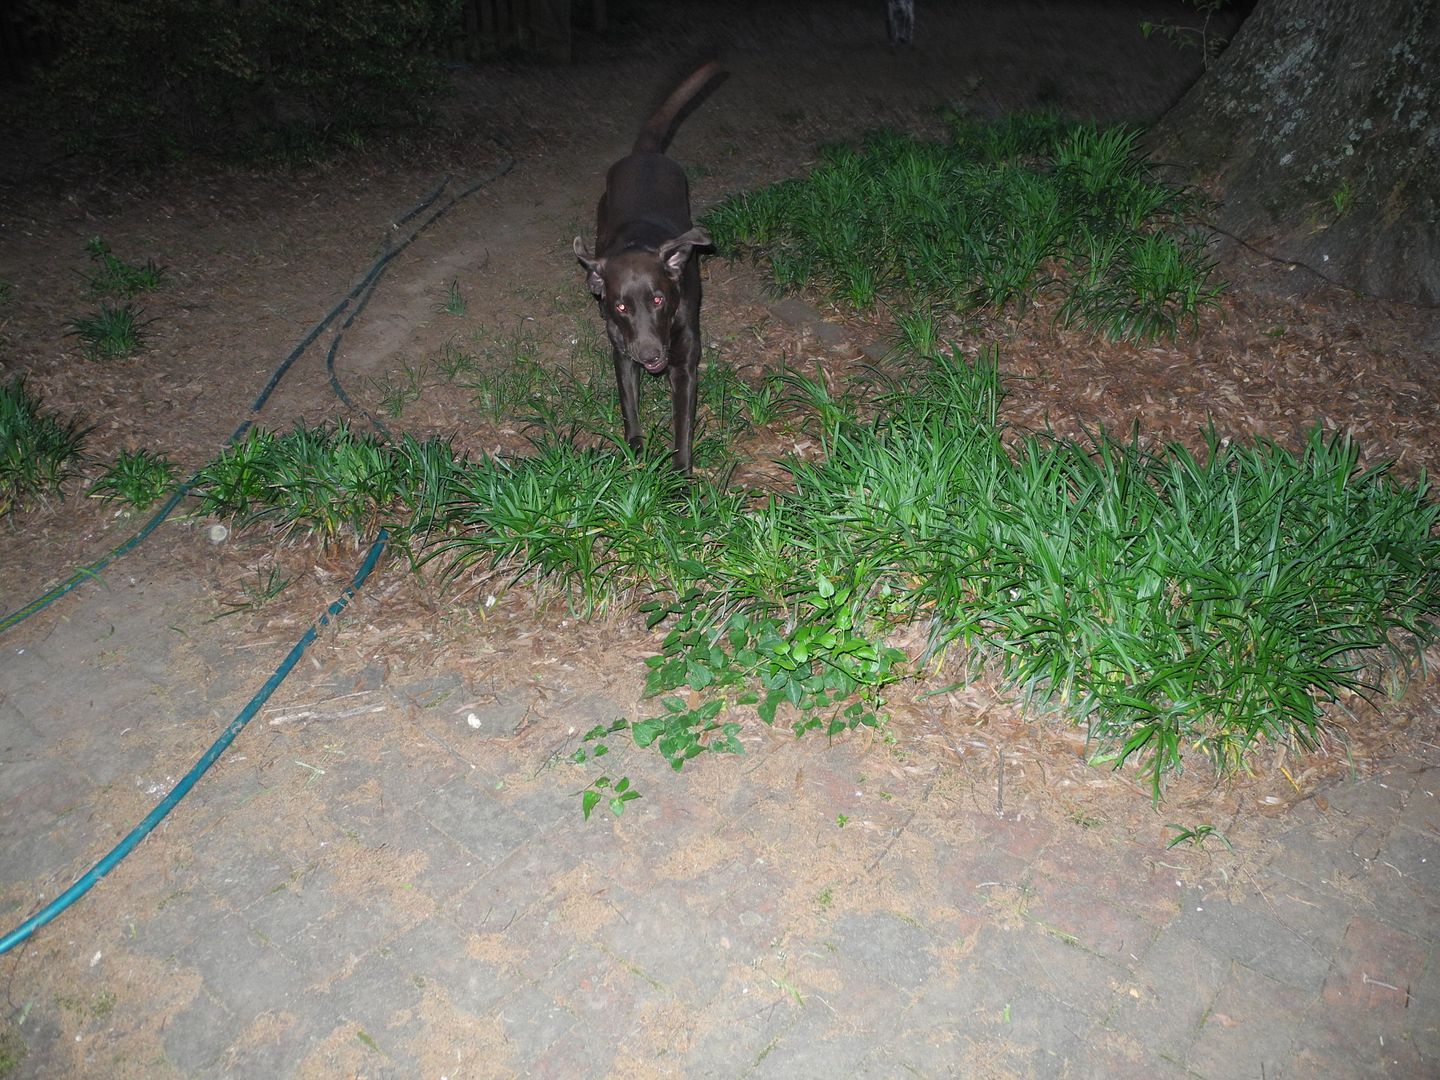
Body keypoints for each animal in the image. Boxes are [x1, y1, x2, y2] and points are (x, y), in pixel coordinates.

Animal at [573, 61, 725, 475]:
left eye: (659, 300)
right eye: (621, 306)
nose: (651, 355)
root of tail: (643, 153)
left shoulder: (684, 362)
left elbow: (683, 423)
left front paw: (680, 474)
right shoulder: (623, 354)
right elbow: (630, 409)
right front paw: (635, 455)